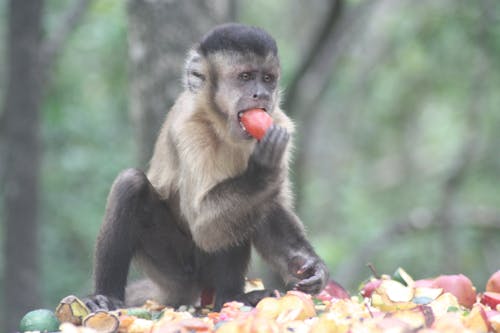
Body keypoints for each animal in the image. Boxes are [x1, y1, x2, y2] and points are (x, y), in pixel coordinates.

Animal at [84, 23, 330, 312]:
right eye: (246, 77)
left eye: (268, 79)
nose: (261, 94)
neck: (223, 125)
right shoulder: (190, 129)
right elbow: (204, 226)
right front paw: (263, 170)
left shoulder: (280, 121)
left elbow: (271, 210)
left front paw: (309, 265)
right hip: (177, 272)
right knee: (131, 184)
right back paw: (107, 295)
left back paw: (234, 297)